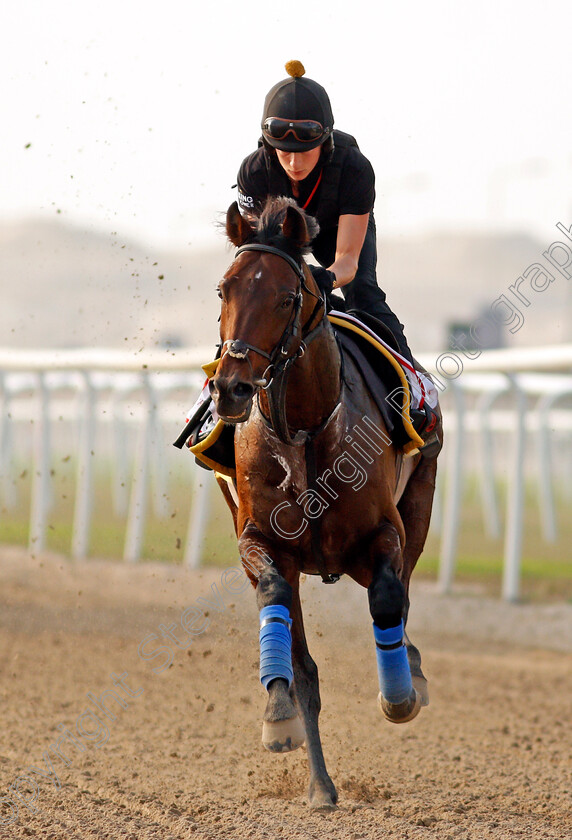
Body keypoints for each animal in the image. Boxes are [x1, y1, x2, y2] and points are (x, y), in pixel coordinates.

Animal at [208, 197, 440, 812]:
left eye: (287, 297)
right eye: (224, 290)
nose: (231, 388)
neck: (307, 433)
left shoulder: (383, 533)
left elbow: (388, 597)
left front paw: (399, 694)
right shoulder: (261, 540)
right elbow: (287, 628)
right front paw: (281, 721)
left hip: (419, 505)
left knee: (404, 595)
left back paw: (410, 669)